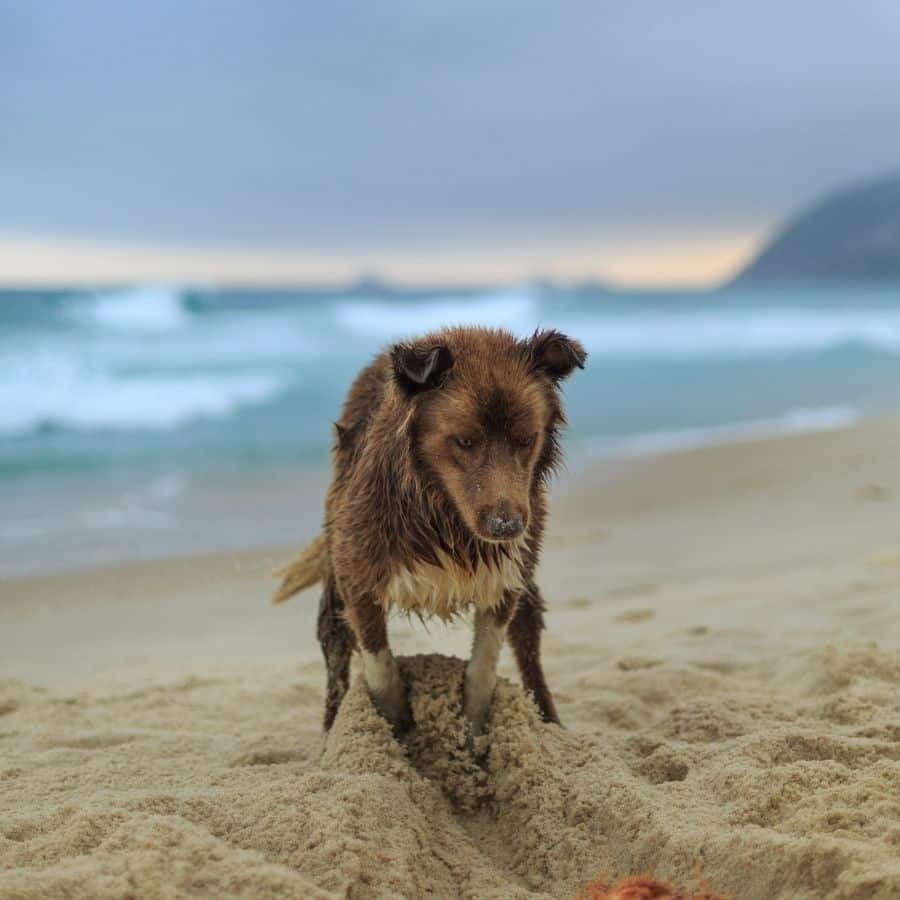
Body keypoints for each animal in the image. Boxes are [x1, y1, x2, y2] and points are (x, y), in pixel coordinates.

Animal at [270, 326, 588, 736]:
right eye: (465, 441)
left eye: (525, 439)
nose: (507, 527)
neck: (443, 516)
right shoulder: (357, 576)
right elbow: (380, 667)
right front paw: (398, 729)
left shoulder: (505, 578)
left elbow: (482, 668)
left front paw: (474, 733)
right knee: (334, 644)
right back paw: (330, 731)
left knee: (528, 637)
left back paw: (550, 722)